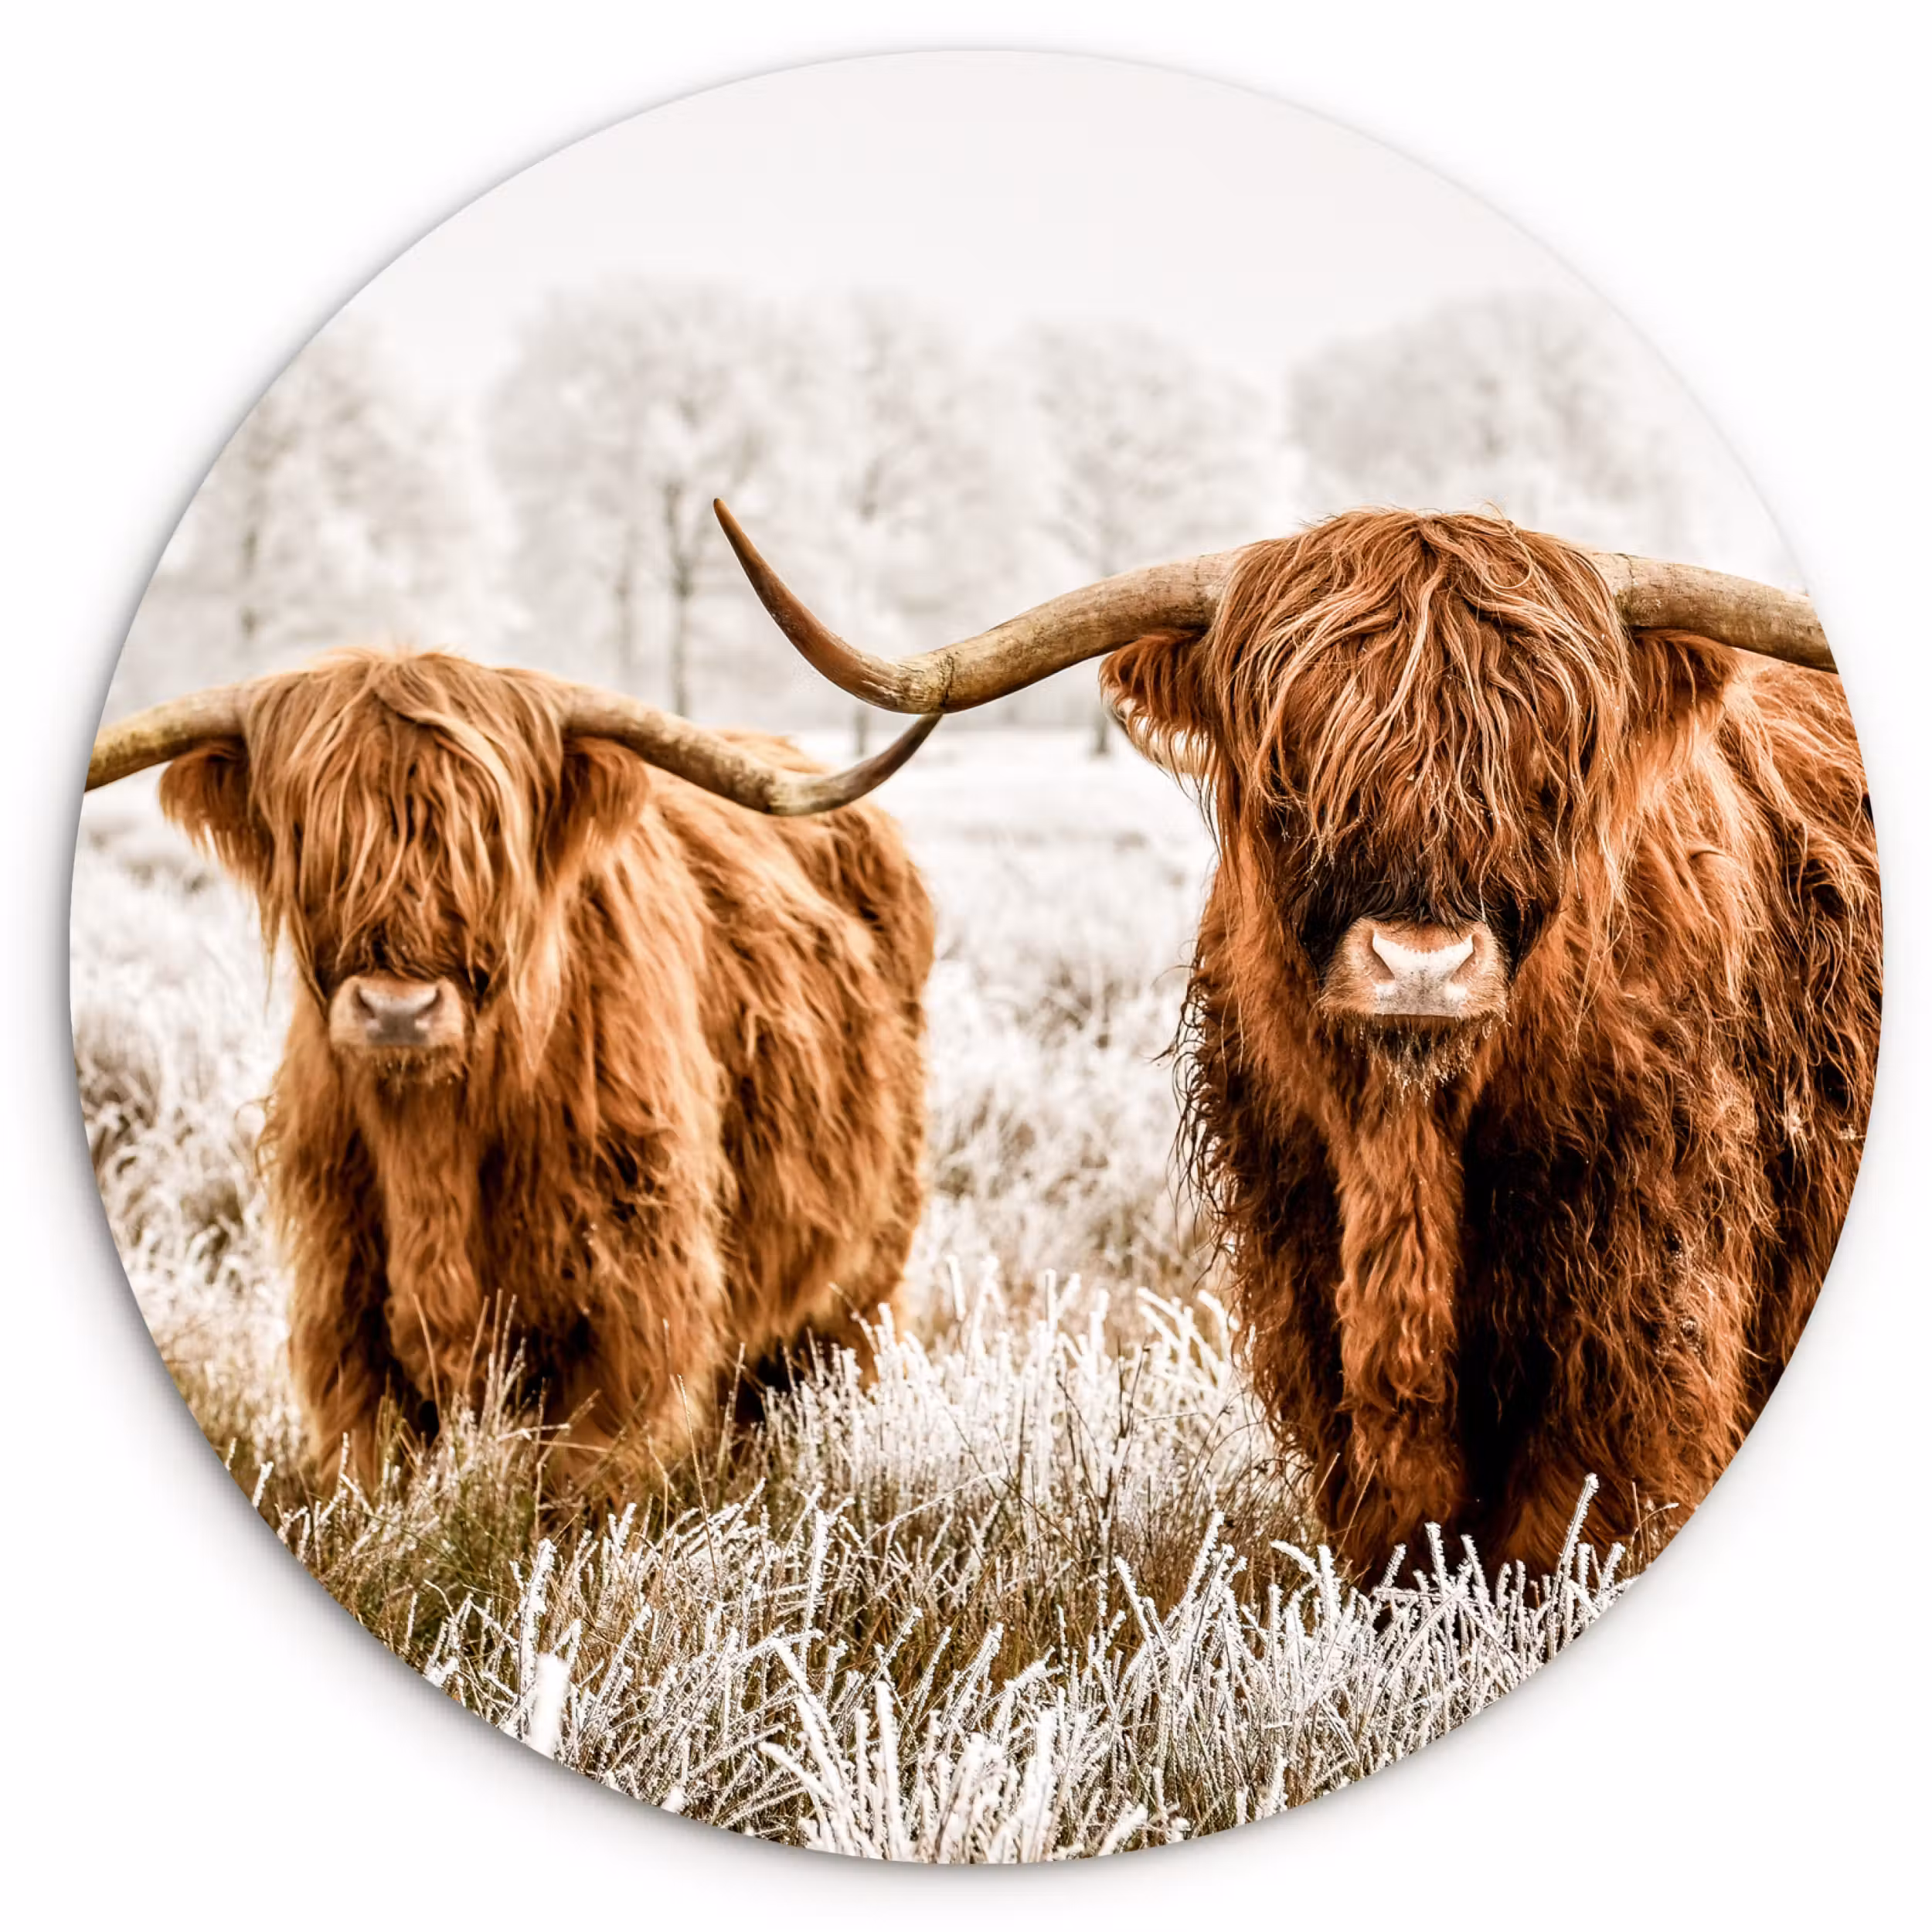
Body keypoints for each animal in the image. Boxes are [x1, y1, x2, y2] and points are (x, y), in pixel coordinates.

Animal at [86, 650, 940, 1499]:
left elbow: (584, 1479)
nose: (398, 1011)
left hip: (864, 1271)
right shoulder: (342, 1297)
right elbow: (371, 1464)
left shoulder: (630, 1298)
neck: (433, 1139)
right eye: (309, 834)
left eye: (489, 840)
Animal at [713, 498, 1881, 1579]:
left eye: (1550, 772)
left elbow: (1568, 1527)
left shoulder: (1639, 1311)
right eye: (1294, 772)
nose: (1421, 964)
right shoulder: (1305, 1275)